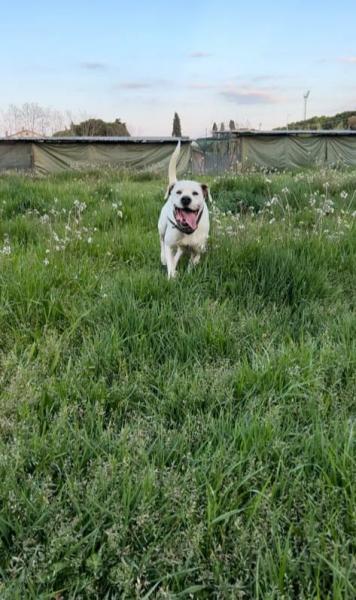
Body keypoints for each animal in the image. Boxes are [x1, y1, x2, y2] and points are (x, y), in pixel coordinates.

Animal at [158, 142, 209, 280]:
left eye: (195, 193)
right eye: (178, 192)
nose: (185, 198)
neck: (187, 230)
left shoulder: (197, 250)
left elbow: (192, 262)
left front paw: (189, 273)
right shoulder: (169, 245)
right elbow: (170, 262)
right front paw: (171, 276)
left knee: (179, 251)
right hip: (162, 227)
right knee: (162, 241)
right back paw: (164, 258)